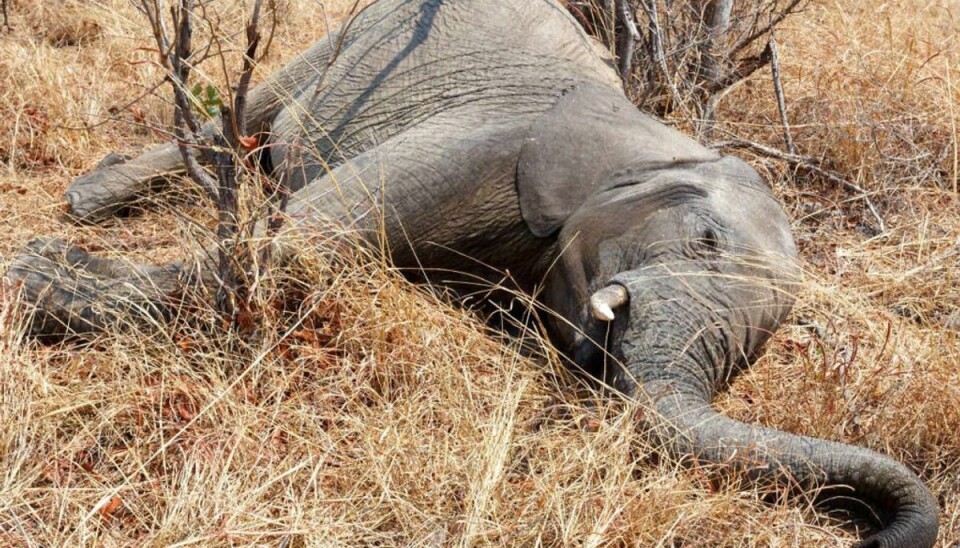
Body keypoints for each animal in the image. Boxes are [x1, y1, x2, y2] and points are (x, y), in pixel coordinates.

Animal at [5, 2, 936, 544]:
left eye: (755, 353)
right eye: (704, 238)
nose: (865, 530)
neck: (655, 141)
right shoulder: (494, 142)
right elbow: (300, 244)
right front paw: (33, 276)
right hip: (353, 36)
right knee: (249, 111)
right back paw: (90, 201)